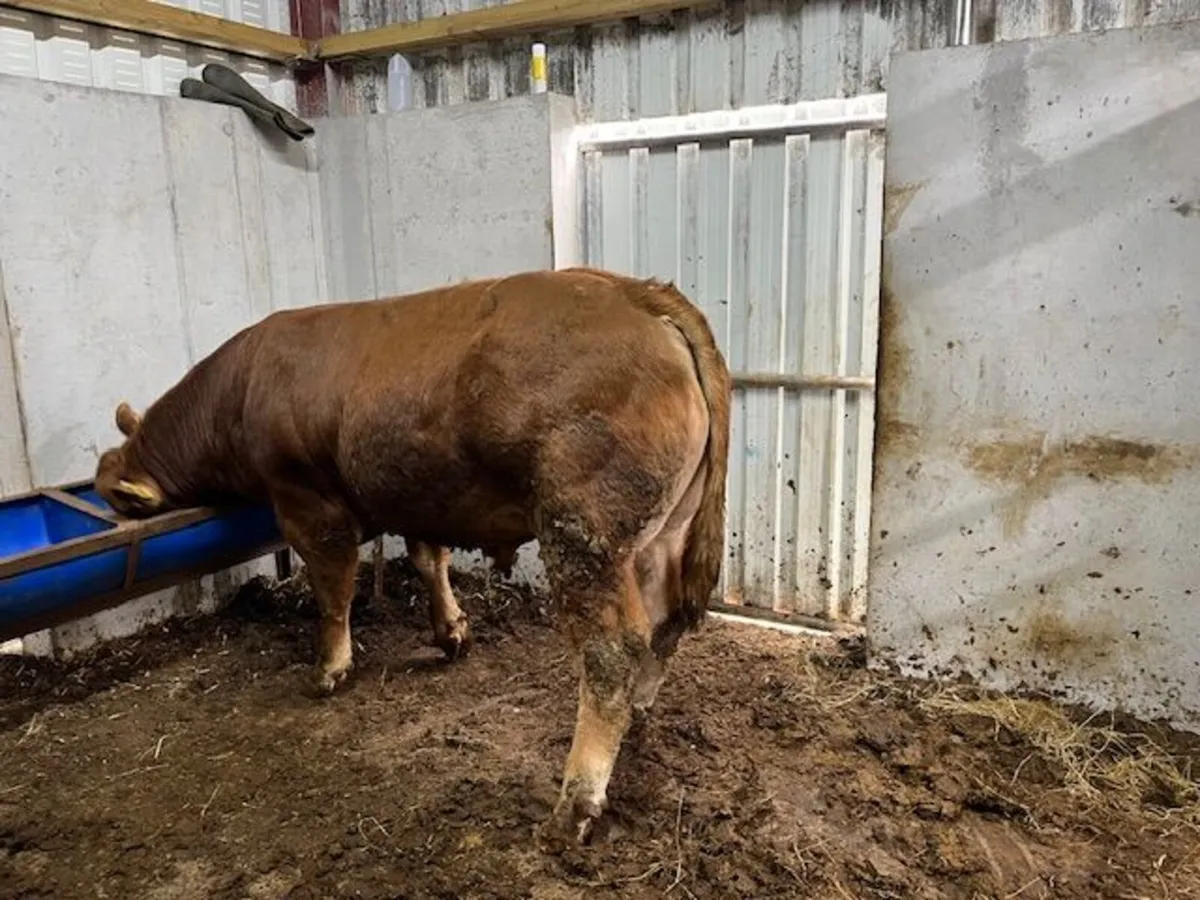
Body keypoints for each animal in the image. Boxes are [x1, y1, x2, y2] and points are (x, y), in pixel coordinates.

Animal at [94, 267, 731, 844]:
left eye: (115, 500)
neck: (240, 389)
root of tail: (634, 291)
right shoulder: (422, 495)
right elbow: (431, 561)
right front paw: (451, 633)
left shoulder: (307, 504)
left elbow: (333, 591)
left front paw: (328, 668)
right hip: (661, 535)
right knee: (664, 621)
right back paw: (639, 714)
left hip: (584, 532)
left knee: (610, 650)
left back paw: (575, 803)